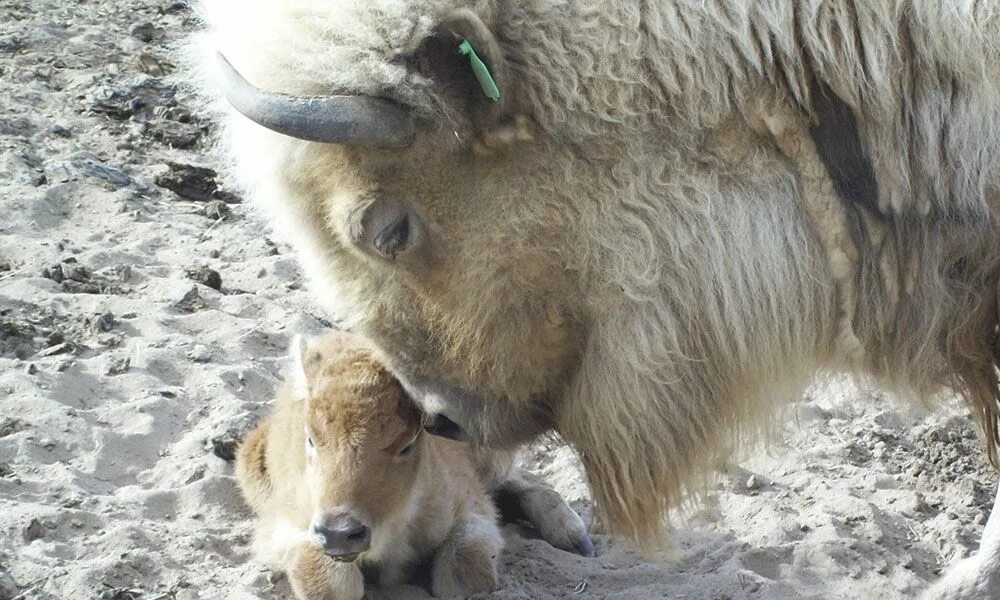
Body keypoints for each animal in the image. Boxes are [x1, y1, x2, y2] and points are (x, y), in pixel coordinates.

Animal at [233, 330, 500, 596]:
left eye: (407, 445)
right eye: (310, 439)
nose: (338, 533)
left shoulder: (470, 504)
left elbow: (466, 576)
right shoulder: (286, 523)